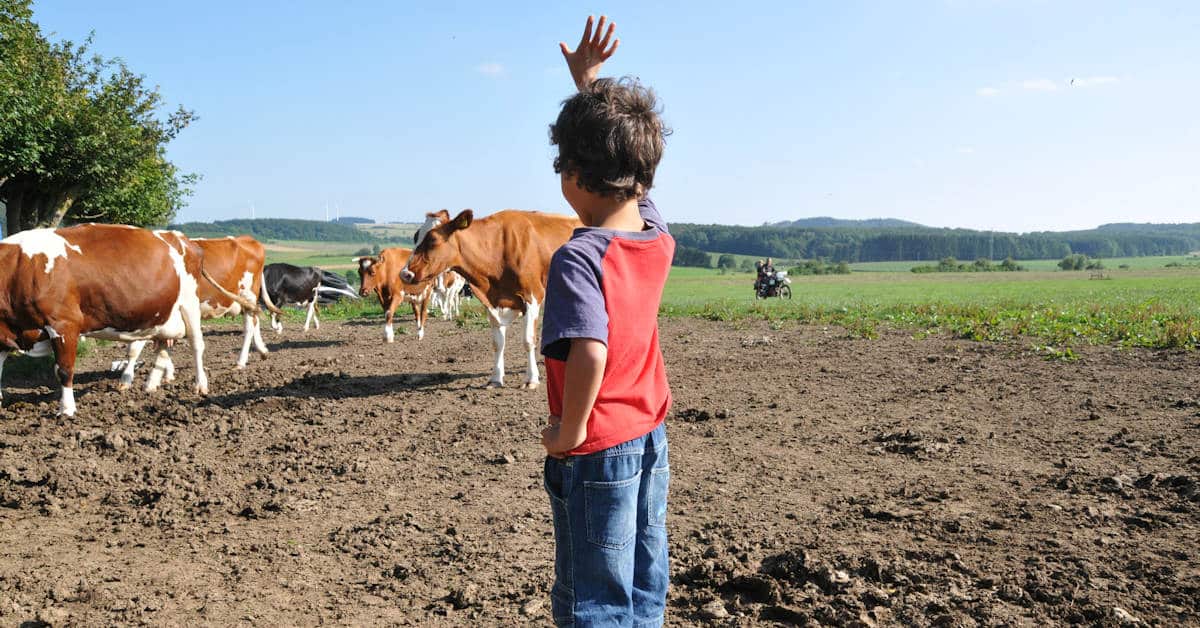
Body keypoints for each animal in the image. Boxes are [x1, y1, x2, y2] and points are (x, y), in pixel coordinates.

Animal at [0, 225, 258, 417]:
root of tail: (183, 239)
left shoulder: (63, 323)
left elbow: (64, 369)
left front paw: (67, 410)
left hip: (190, 304)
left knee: (197, 344)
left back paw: (200, 384)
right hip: (161, 313)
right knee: (163, 345)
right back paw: (150, 384)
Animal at [119, 232, 283, 386]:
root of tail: (246, 239)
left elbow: (135, 348)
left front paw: (126, 380)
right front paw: (167, 374)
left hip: (248, 294)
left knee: (249, 327)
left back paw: (241, 362)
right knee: (255, 320)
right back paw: (262, 351)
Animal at [398, 211, 580, 389]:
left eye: (433, 239)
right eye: (415, 236)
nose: (404, 273)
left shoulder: (532, 297)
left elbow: (528, 341)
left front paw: (532, 379)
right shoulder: (493, 304)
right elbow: (497, 343)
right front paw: (496, 378)